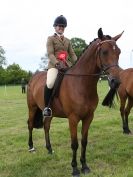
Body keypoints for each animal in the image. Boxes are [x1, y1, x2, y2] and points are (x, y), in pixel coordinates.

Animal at [27, 28, 123, 176]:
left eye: (118, 52)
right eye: (104, 52)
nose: (116, 81)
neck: (81, 84)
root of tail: (34, 77)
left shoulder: (89, 117)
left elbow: (84, 141)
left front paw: (85, 166)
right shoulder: (73, 118)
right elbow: (74, 143)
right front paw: (75, 169)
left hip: (49, 112)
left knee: (46, 126)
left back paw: (49, 149)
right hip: (32, 108)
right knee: (31, 125)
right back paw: (31, 147)